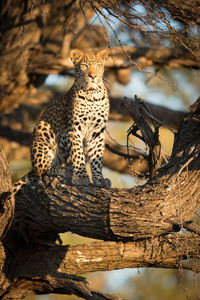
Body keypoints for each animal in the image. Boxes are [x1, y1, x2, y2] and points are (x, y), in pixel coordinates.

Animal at [21, 50, 111, 189]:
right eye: (85, 65)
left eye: (98, 66)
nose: (93, 76)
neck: (92, 94)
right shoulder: (75, 127)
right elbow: (78, 153)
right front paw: (80, 177)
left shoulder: (97, 131)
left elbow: (97, 157)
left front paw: (99, 179)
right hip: (42, 129)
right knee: (43, 170)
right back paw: (66, 170)